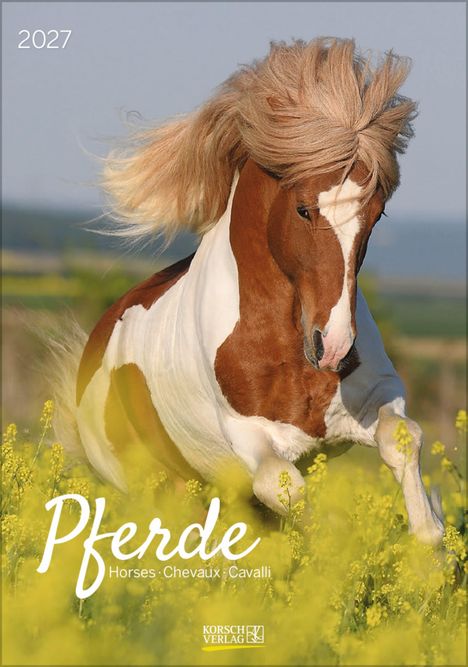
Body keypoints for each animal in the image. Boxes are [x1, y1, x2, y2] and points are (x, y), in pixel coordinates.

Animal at [74, 38, 443, 545]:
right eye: (304, 209)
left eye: (378, 213)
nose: (333, 348)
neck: (284, 336)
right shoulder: (247, 436)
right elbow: (282, 485)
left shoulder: (375, 396)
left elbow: (402, 439)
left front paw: (431, 541)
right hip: (146, 484)